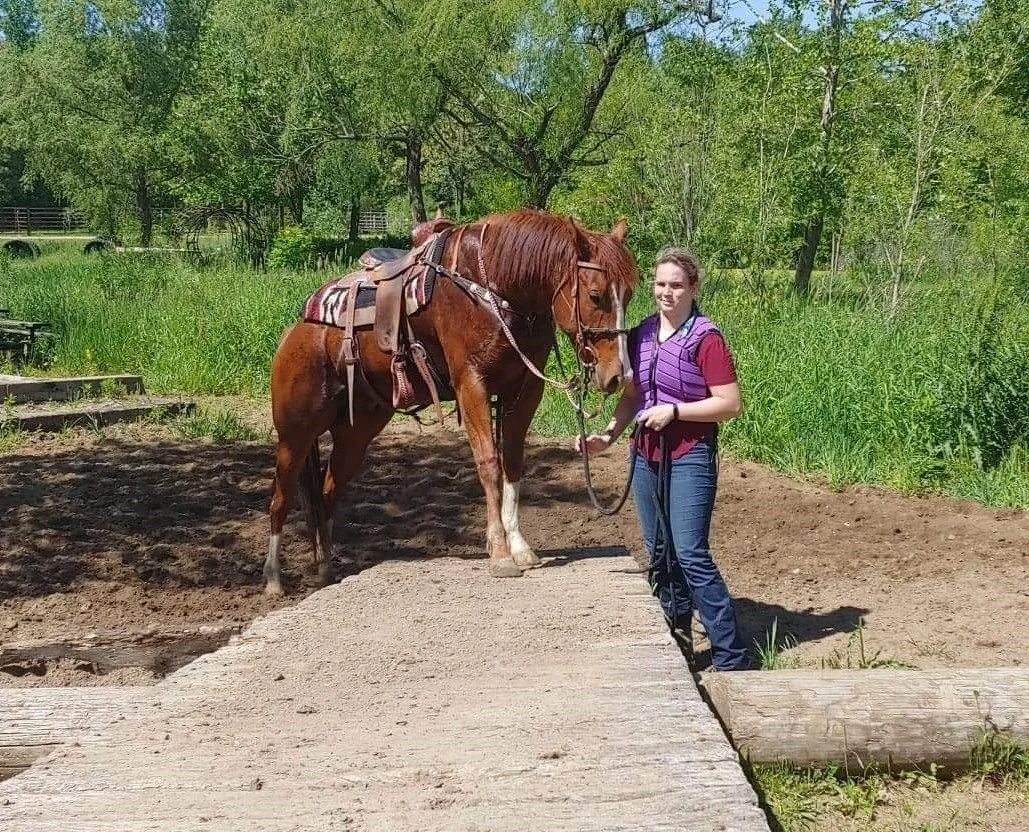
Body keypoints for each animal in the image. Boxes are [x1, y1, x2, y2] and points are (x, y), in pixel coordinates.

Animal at [263, 209, 638, 596]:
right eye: (595, 295)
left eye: (628, 294)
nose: (617, 375)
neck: (493, 290)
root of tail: (297, 330)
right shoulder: (470, 384)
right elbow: (489, 463)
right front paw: (500, 554)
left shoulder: (524, 389)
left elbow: (513, 462)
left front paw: (520, 547)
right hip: (295, 433)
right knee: (281, 497)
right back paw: (274, 578)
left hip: (356, 434)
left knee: (327, 494)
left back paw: (325, 568)